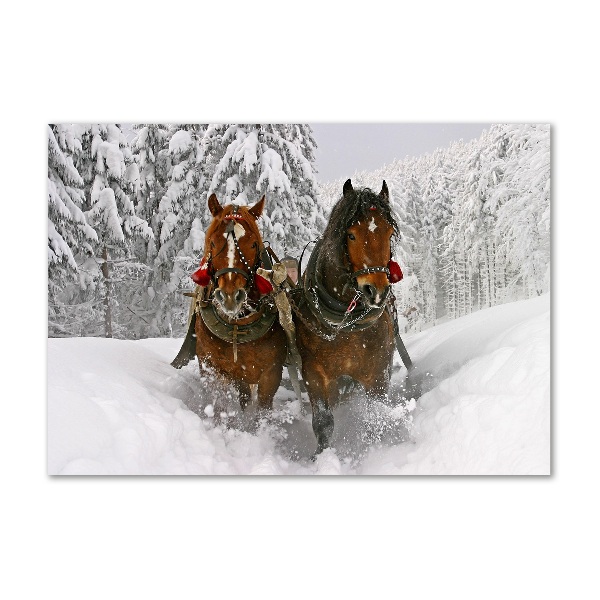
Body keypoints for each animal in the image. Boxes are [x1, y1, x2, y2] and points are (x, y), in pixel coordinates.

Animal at [171, 195, 288, 414]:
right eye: (213, 242)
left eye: (253, 244)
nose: (231, 296)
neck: (236, 326)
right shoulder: (212, 367)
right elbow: (220, 405)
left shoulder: (271, 374)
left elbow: (263, 410)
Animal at [290, 180, 404, 452]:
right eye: (351, 235)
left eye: (388, 234)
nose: (376, 291)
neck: (345, 323)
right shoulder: (314, 374)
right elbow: (323, 422)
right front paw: (321, 456)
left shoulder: (378, 372)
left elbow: (376, 415)